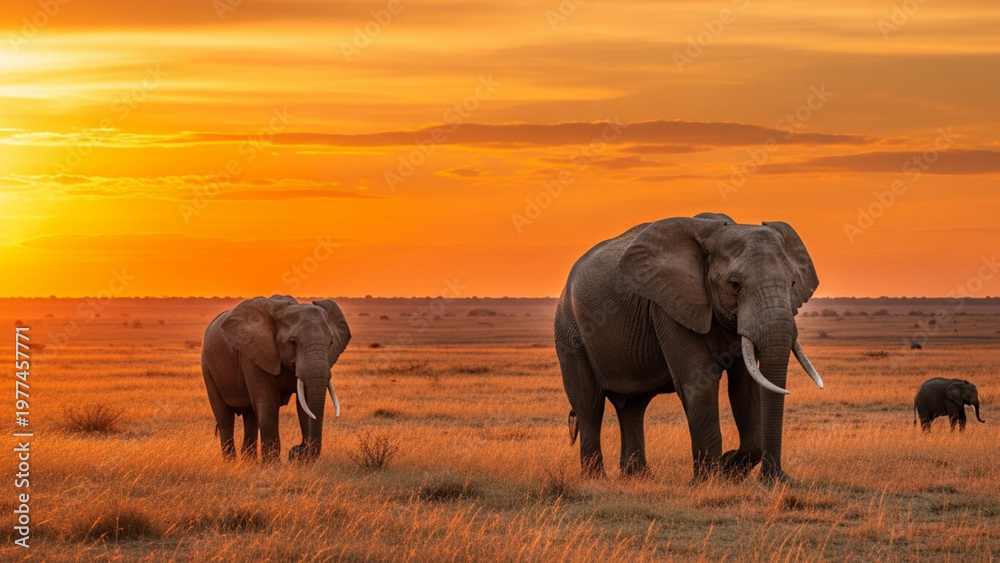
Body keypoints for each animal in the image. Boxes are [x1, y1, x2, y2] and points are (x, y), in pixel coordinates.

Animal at [201, 295, 351, 462]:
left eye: (331, 342)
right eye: (292, 342)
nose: (297, 449)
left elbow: (304, 404)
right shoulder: (254, 355)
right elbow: (267, 404)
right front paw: (272, 465)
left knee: (251, 416)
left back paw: (249, 462)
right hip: (208, 368)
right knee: (225, 417)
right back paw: (231, 462)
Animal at [555, 213, 823, 483]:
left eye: (792, 282)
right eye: (734, 284)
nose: (776, 477)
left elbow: (745, 386)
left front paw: (728, 469)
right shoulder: (669, 307)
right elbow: (699, 382)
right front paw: (710, 480)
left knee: (633, 406)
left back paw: (638, 478)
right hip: (570, 332)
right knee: (589, 403)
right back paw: (596, 478)